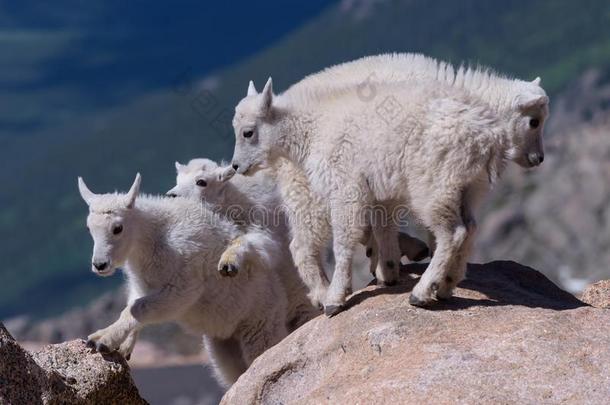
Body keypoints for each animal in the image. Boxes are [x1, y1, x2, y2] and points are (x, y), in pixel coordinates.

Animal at [230, 52, 548, 316]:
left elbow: (360, 233)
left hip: (441, 186)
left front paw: (372, 279)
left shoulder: (359, 185)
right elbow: (374, 228)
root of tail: (484, 135)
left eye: (247, 132)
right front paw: (386, 271)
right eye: (534, 121)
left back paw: (426, 287)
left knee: (458, 230)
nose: (538, 158)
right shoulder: (370, 185)